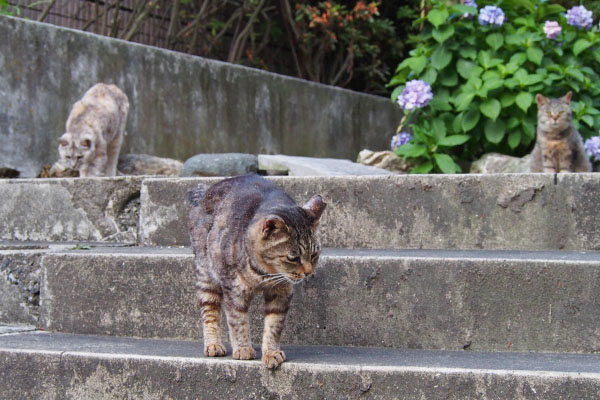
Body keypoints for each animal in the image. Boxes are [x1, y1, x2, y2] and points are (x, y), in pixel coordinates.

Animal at [188, 175, 328, 368]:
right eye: (293, 258)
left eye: (314, 254)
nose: (308, 272)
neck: (265, 273)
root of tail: (208, 189)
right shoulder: (234, 290)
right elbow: (238, 321)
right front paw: (243, 348)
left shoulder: (281, 292)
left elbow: (273, 325)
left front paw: (271, 352)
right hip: (206, 276)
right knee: (209, 311)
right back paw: (213, 345)